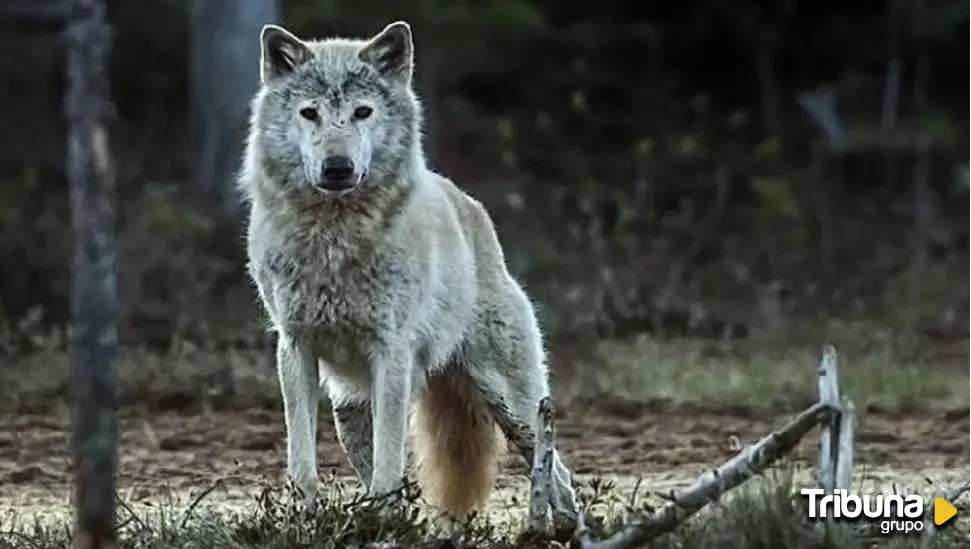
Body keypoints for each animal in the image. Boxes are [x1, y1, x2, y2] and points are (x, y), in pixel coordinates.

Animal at [238, 20, 579, 521]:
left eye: (362, 112)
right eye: (309, 113)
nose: (337, 167)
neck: (334, 240)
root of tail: (472, 207)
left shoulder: (391, 351)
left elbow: (390, 459)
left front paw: (383, 518)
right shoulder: (294, 347)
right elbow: (302, 457)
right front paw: (305, 517)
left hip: (512, 403)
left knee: (557, 473)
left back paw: (563, 527)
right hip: (350, 411)